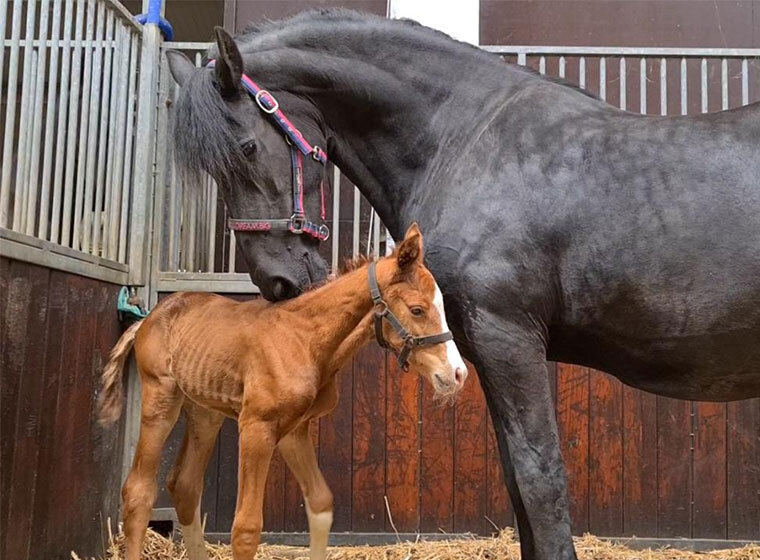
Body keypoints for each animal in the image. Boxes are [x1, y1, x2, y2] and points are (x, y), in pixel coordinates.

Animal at [98, 225, 466, 560]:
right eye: (417, 309)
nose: (457, 374)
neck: (304, 340)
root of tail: (149, 317)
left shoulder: (294, 430)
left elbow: (321, 504)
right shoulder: (256, 426)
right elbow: (246, 529)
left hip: (206, 413)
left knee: (184, 485)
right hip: (161, 398)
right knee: (138, 491)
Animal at [168, 10, 760, 556]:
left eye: (246, 148)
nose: (279, 280)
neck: (464, 144)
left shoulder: (508, 338)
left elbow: (540, 477)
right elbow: (517, 484)